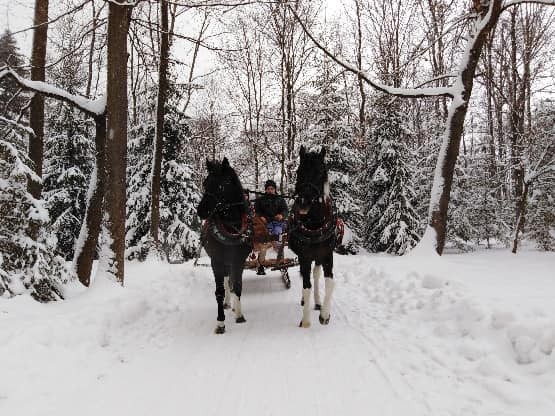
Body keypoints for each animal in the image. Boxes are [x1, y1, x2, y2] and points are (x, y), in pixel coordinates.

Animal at [198, 158, 252, 334]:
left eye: (223, 184)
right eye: (205, 183)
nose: (201, 211)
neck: (231, 225)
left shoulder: (239, 260)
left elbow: (238, 286)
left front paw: (239, 315)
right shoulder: (216, 261)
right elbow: (220, 291)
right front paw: (220, 323)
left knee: (232, 281)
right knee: (227, 280)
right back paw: (228, 303)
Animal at [288, 146, 336, 328]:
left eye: (320, 172)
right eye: (299, 171)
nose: (303, 202)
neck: (315, 223)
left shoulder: (327, 255)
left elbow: (329, 283)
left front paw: (324, 315)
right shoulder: (304, 256)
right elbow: (306, 285)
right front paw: (306, 320)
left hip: (318, 256)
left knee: (315, 275)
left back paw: (317, 302)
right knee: (306, 276)